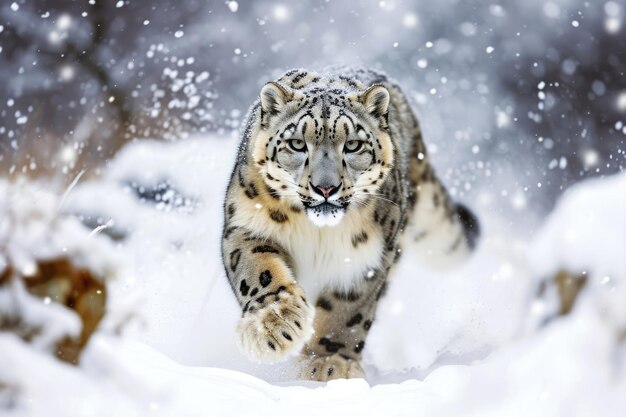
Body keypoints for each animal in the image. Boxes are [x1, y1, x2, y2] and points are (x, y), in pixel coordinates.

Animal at [219, 66, 478, 380]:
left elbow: (347, 311)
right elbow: (259, 272)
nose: (325, 187)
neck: (318, 233)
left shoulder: (366, 258)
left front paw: (329, 364)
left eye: (353, 145)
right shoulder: (246, 225)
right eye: (296, 143)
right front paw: (274, 327)